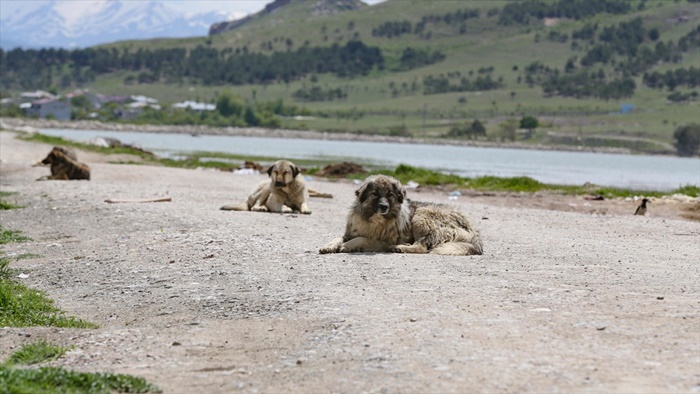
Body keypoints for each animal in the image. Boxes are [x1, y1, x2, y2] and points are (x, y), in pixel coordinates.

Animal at [320, 175, 484, 255]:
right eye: (375, 193)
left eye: (390, 194)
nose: (384, 207)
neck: (374, 221)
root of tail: (474, 232)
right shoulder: (350, 232)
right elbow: (338, 238)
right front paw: (328, 246)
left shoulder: (384, 241)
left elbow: (361, 239)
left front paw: (346, 246)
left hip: (421, 216)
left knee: (422, 247)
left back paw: (400, 248)